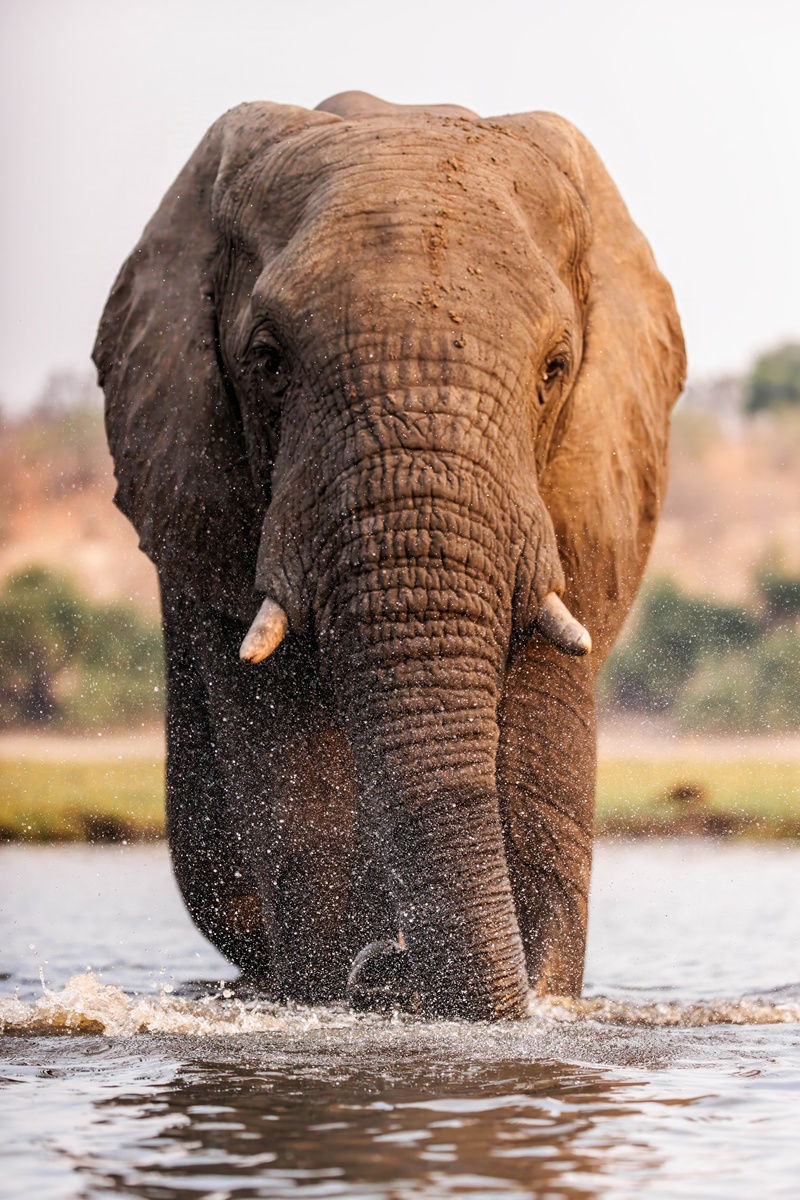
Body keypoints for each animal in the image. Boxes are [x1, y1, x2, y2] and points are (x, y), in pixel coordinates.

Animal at [93, 90, 685, 1021]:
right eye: (267, 362)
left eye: (556, 368)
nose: (392, 962)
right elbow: (293, 778)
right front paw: (342, 990)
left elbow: (545, 750)